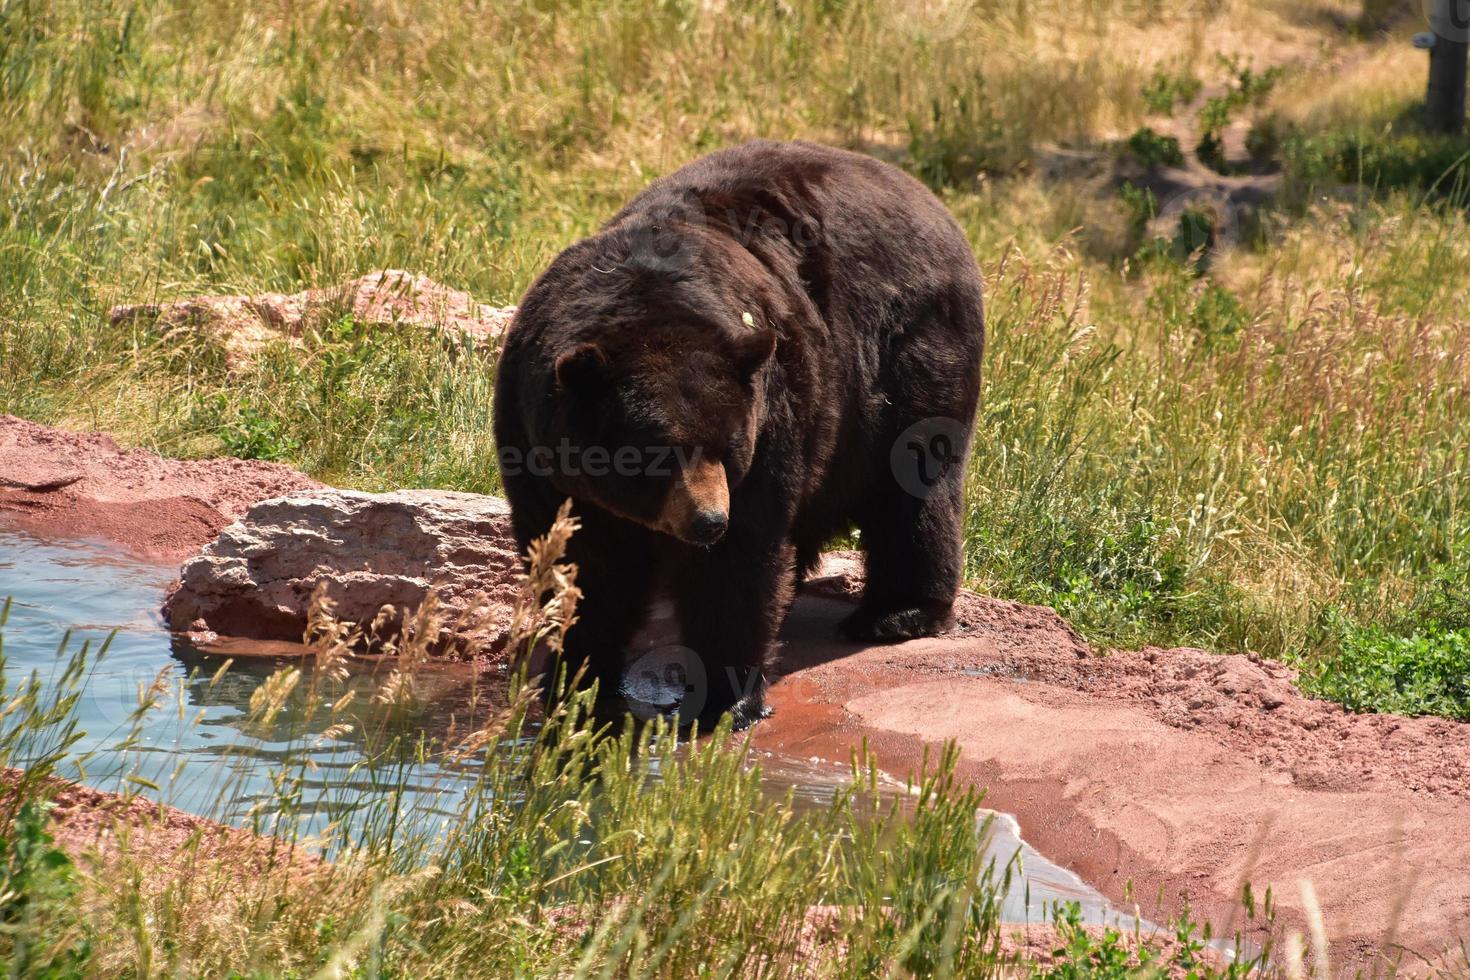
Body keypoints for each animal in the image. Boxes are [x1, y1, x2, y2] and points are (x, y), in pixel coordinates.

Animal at [493, 141, 987, 731]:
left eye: (726, 448)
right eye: (655, 455)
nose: (708, 521)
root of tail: (928, 199)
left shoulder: (771, 419)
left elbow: (737, 566)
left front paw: (723, 700)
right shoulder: (535, 443)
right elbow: (581, 560)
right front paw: (577, 677)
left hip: (906, 355)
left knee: (913, 483)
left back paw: (898, 613)